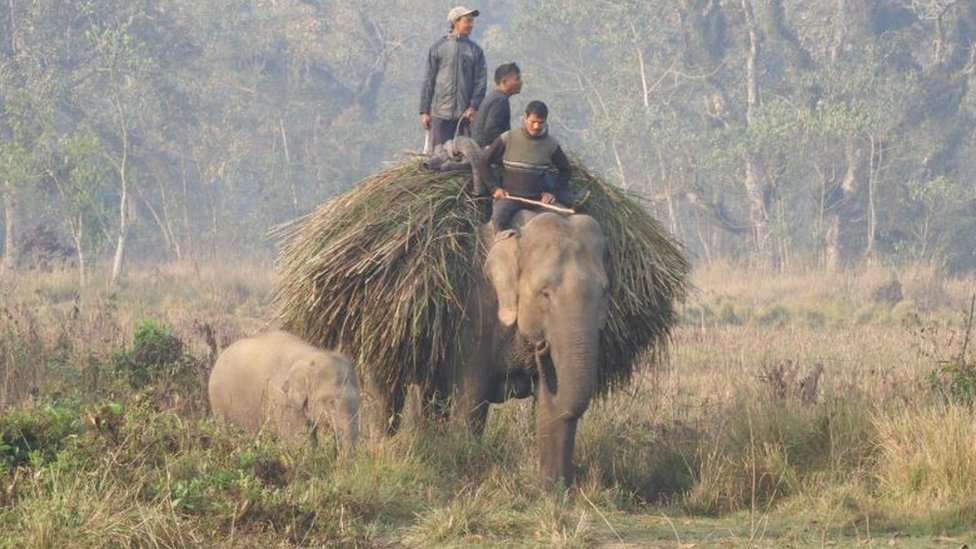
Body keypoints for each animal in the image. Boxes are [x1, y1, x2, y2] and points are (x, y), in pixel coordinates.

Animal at [208, 328, 360, 452]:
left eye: (359, 403)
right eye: (330, 402)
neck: (310, 354)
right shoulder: (282, 398)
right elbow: (298, 440)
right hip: (219, 404)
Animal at [370, 210, 608, 484]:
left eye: (605, 292)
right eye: (544, 293)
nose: (542, 347)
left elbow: (551, 408)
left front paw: (552, 489)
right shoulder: (474, 313)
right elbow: (472, 397)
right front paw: (464, 466)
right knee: (386, 391)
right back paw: (382, 450)